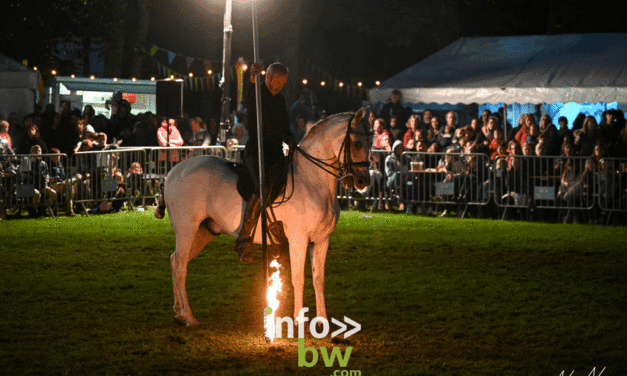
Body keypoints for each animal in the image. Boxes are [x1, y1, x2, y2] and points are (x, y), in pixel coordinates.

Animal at [156, 106, 370, 326]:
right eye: (356, 143)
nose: (363, 181)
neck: (312, 180)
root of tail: (172, 172)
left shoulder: (321, 240)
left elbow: (319, 279)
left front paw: (322, 321)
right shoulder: (298, 239)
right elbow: (298, 279)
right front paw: (298, 321)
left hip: (204, 232)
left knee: (175, 262)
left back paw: (179, 312)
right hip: (186, 231)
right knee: (181, 268)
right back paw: (189, 317)